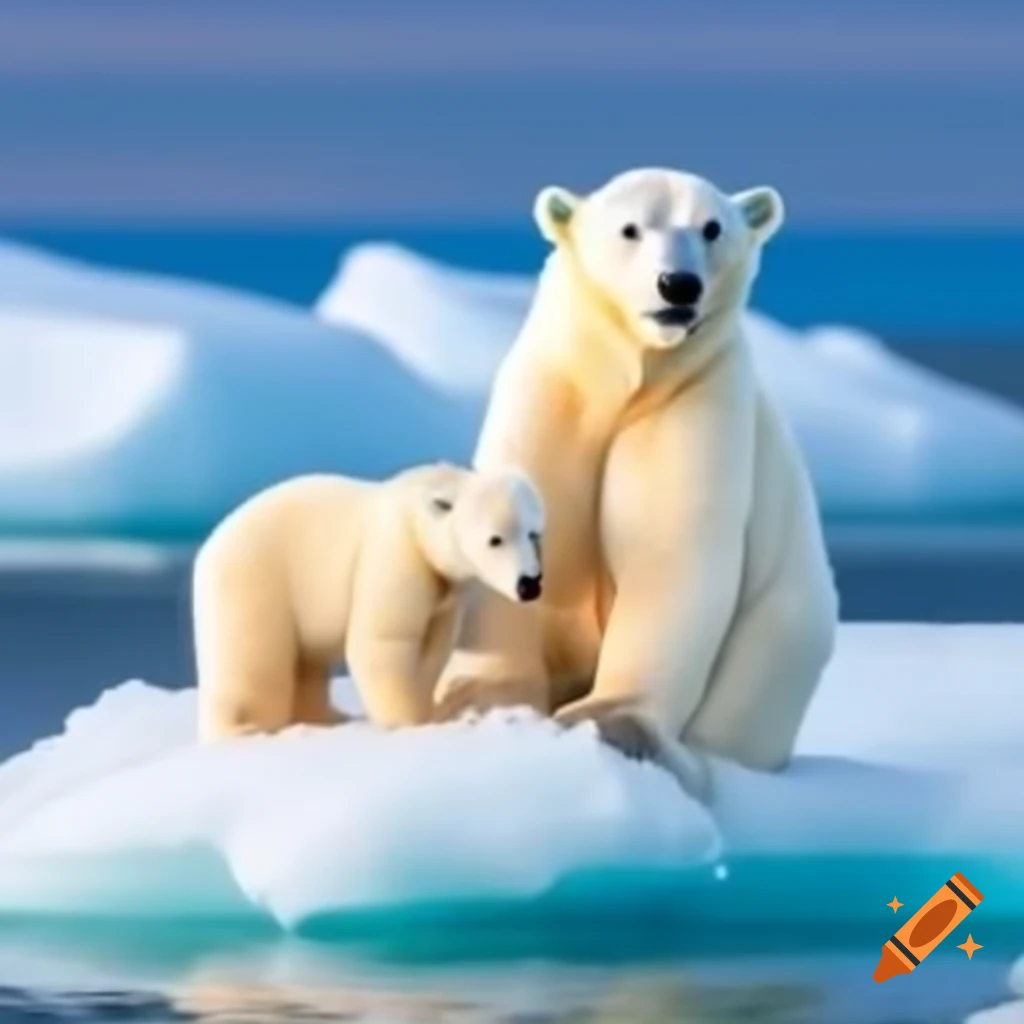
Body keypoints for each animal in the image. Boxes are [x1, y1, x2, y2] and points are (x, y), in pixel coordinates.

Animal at [193, 462, 545, 742]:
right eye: (495, 539)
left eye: (533, 533)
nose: (529, 584)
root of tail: (207, 549)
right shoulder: (397, 555)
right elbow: (384, 640)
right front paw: (411, 720)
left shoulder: (445, 592)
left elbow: (434, 648)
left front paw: (431, 707)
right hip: (255, 581)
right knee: (254, 655)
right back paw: (245, 727)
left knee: (306, 665)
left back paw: (328, 718)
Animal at [434, 167, 839, 794]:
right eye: (630, 228)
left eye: (712, 227)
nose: (679, 285)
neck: (626, 374)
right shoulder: (549, 396)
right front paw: (481, 703)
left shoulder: (694, 402)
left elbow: (668, 551)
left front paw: (611, 722)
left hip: (774, 654)